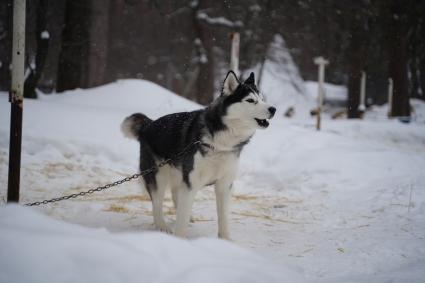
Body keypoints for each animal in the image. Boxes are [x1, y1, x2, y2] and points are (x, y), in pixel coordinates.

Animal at [121, 71, 274, 240]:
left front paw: (225, 241)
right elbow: (181, 221)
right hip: (158, 176)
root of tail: (148, 125)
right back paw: (162, 226)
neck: (220, 143)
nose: (273, 109)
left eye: (262, 98)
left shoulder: (224, 185)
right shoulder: (191, 182)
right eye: (250, 100)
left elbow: (223, 217)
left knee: (175, 194)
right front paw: (180, 239)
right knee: (157, 203)